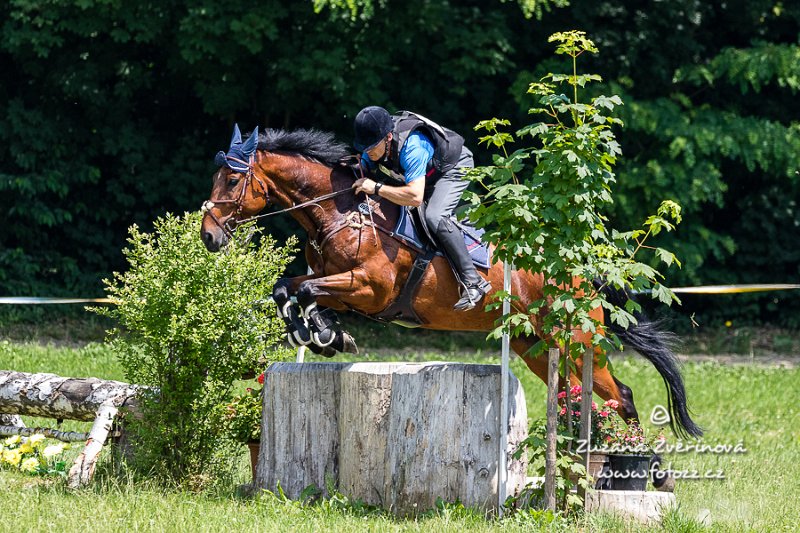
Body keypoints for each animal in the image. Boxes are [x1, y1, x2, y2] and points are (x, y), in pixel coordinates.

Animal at [203, 127, 704, 438]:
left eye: (231, 180)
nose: (208, 236)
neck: (342, 212)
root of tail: (579, 274)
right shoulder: (336, 281)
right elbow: (286, 288)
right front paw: (322, 335)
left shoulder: (369, 288)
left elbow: (306, 290)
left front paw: (323, 335)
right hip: (536, 347)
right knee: (574, 397)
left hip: (579, 342)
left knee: (621, 396)